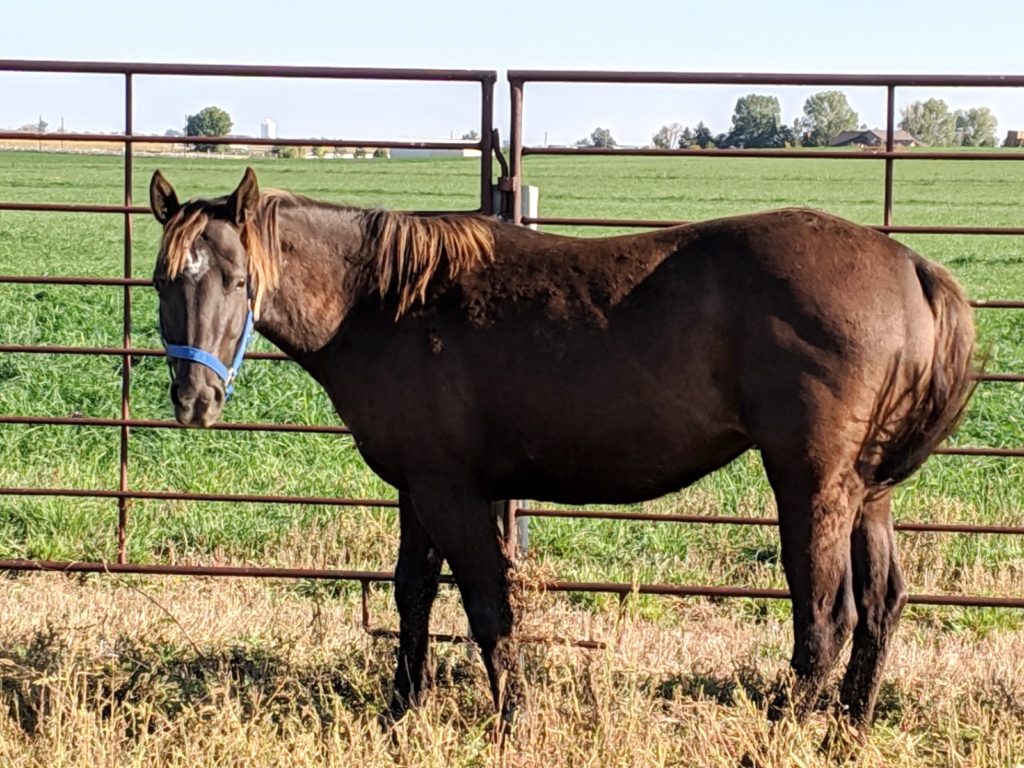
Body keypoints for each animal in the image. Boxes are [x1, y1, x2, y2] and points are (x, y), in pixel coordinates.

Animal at [149, 166, 974, 741]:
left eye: (238, 279)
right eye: (162, 280)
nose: (192, 400)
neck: (385, 305)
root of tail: (908, 265)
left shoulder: (453, 492)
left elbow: (489, 608)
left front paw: (512, 722)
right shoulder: (418, 486)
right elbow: (412, 595)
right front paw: (400, 711)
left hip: (810, 481)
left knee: (826, 618)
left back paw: (776, 735)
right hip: (867, 490)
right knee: (881, 605)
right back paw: (847, 731)